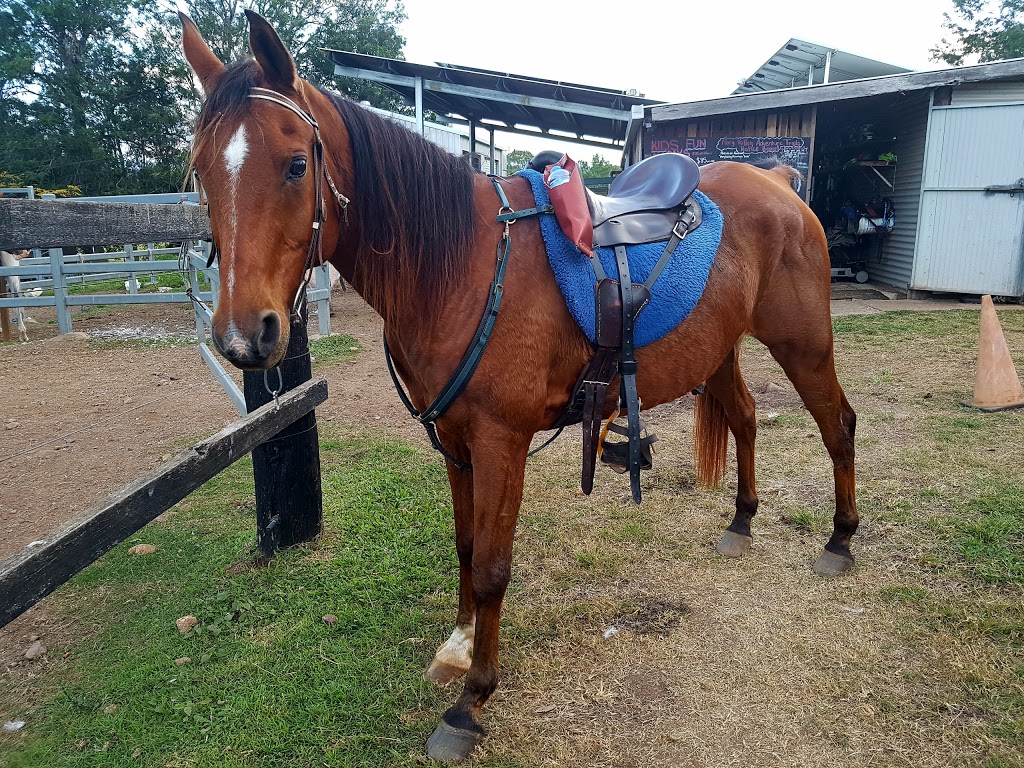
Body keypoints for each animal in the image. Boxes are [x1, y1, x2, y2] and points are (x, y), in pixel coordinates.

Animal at [182, 13, 856, 765]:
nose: (246, 336)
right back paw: (741, 522)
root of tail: (779, 181)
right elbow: (465, 545)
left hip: (804, 344)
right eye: (203, 169)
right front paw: (459, 644)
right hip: (719, 353)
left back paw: (839, 540)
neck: (462, 265)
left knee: (838, 425)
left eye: (296, 164)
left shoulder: (500, 442)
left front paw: (471, 700)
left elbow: (492, 567)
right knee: (745, 419)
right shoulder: (454, 442)